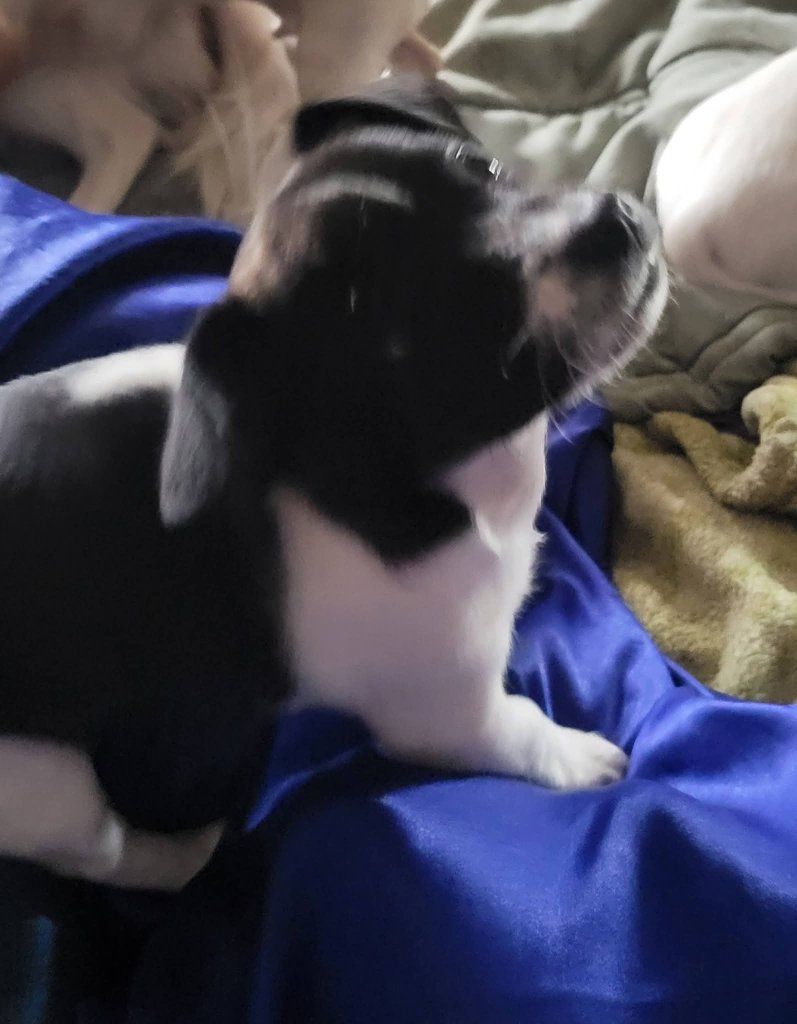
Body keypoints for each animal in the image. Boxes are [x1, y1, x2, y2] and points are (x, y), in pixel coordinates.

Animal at [0, 77, 667, 891]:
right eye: (411, 320)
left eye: (483, 171)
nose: (616, 224)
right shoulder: (453, 712)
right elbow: (525, 732)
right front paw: (582, 758)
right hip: (46, 785)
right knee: (104, 849)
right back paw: (180, 853)